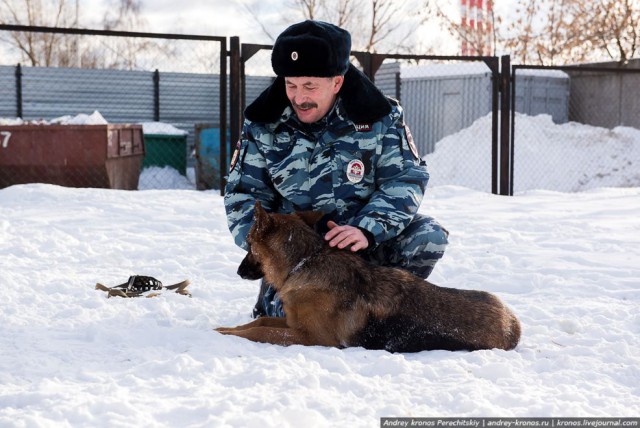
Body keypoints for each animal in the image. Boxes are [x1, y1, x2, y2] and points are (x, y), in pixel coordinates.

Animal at [215, 202, 520, 352]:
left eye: (249, 244)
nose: (238, 271)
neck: (305, 262)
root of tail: (513, 325)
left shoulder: (313, 337)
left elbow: (260, 331)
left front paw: (230, 333)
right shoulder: (292, 322)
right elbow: (260, 321)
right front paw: (229, 329)